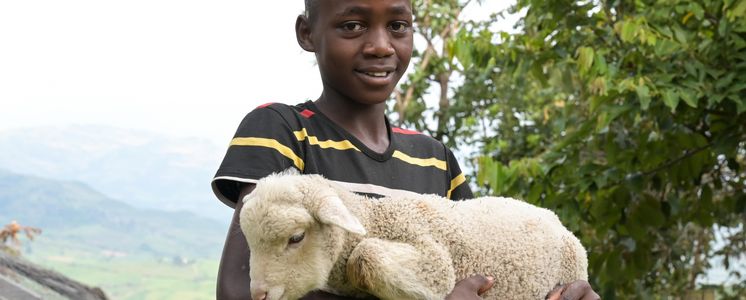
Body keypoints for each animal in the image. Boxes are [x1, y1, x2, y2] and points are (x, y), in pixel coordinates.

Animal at [240, 171, 588, 300]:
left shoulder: (434, 261)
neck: (375, 220)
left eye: (296, 237)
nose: (257, 294)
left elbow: (367, 254)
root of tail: (552, 217)